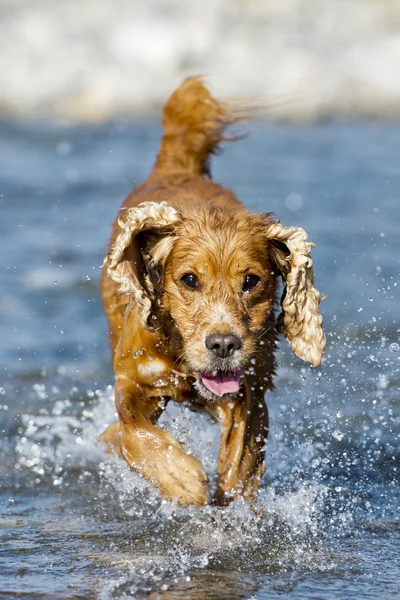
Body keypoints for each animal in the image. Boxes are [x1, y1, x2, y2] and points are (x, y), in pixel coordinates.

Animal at [100, 75, 324, 506]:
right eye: (189, 279)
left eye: (251, 281)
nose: (222, 344)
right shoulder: (134, 377)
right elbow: (131, 429)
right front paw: (180, 476)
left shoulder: (250, 388)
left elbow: (241, 457)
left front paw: (232, 495)